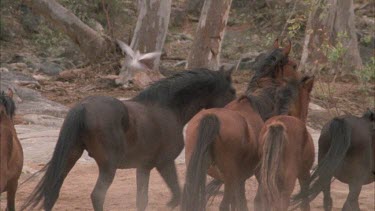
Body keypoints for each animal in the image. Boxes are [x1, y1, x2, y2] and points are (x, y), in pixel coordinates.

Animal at [21, 68, 235, 211]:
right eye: (232, 92)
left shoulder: (144, 167)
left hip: (70, 157)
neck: (168, 108)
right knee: (97, 195)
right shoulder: (164, 163)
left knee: (52, 192)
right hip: (108, 166)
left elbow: (143, 200)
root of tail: (83, 106)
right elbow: (177, 195)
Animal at [258, 77, 316, 211]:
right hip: (285, 188)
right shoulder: (305, 175)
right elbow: (305, 203)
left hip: (265, 185)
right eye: (309, 98)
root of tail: (277, 124)